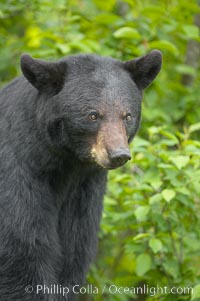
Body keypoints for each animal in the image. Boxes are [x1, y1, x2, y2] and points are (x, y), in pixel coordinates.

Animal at [0, 50, 162, 298]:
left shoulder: (84, 192)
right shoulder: (17, 175)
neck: (66, 167)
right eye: (93, 115)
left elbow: (74, 253)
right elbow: (22, 251)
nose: (119, 154)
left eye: (127, 116)